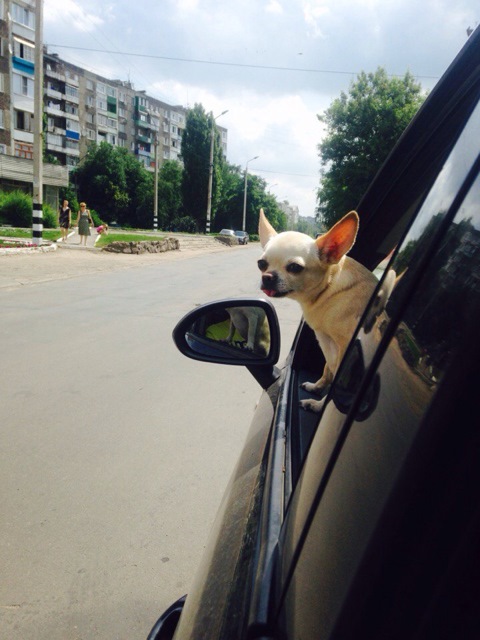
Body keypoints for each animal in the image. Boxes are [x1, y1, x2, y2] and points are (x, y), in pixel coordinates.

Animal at [258, 208, 378, 412]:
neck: (328, 288)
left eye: (295, 267)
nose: (267, 276)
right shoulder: (327, 343)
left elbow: (337, 387)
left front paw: (319, 406)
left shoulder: (347, 351)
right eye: (261, 264)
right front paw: (317, 387)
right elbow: (328, 369)